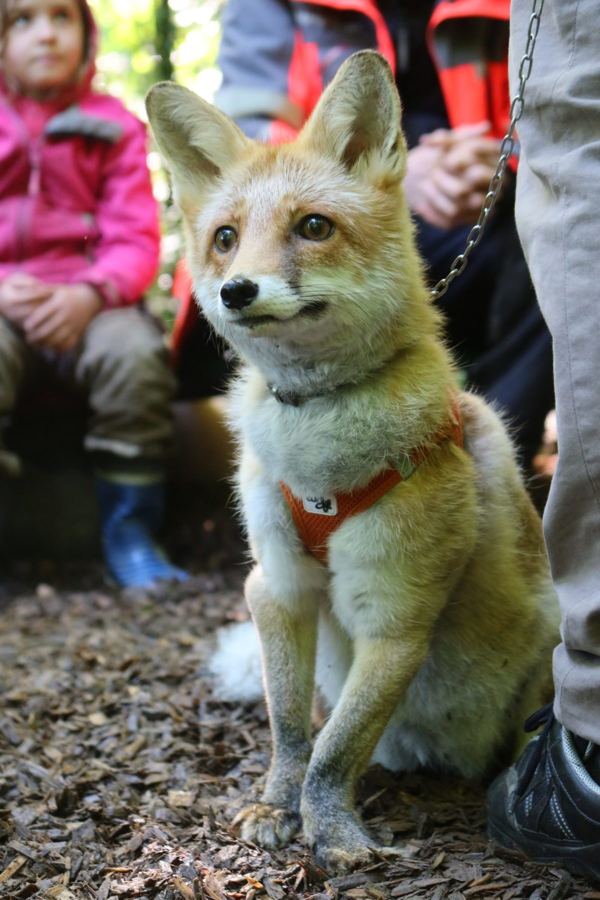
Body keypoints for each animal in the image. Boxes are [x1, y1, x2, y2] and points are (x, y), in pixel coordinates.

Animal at [146, 51, 559, 873]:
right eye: (226, 238)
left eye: (314, 227)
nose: (237, 291)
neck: (319, 462)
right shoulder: (276, 584)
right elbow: (294, 730)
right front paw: (277, 808)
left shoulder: (394, 616)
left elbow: (336, 749)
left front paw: (332, 832)